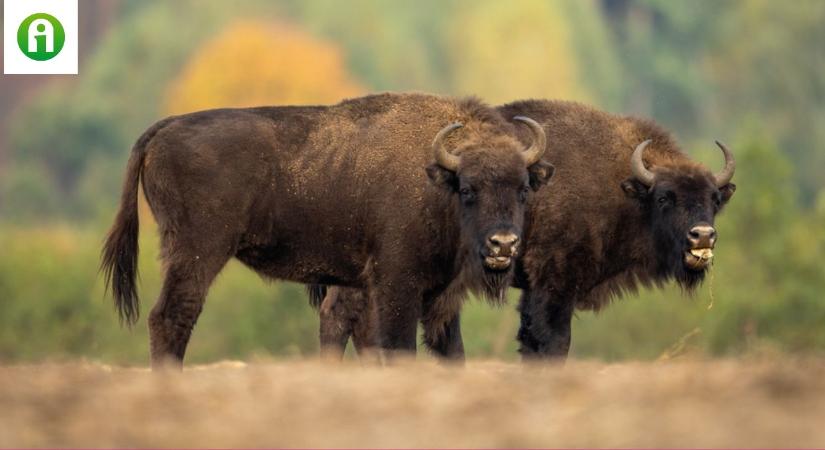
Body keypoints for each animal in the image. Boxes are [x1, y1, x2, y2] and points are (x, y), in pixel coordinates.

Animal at [101, 93, 552, 368]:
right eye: (469, 189)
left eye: (524, 188)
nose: (503, 244)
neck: (437, 179)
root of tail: (165, 128)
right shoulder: (397, 286)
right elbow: (398, 345)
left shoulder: (436, 297)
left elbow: (449, 350)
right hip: (197, 253)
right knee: (171, 316)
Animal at [308, 99, 732, 362]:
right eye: (665, 197)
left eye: (713, 199)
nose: (702, 236)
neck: (621, 185)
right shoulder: (555, 283)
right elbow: (554, 340)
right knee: (342, 317)